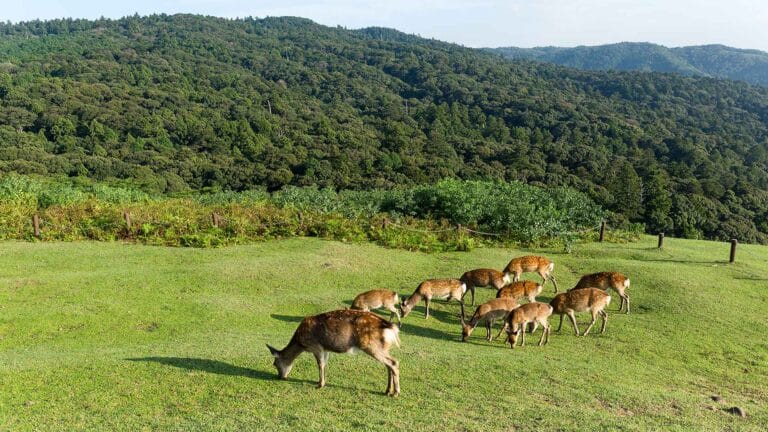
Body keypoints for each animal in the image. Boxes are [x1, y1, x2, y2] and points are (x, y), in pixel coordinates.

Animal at [266, 309, 401, 396]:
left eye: (275, 364)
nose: (280, 377)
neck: (301, 343)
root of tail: (391, 328)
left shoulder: (316, 346)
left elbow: (320, 364)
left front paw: (319, 384)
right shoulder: (326, 349)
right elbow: (325, 364)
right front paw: (322, 382)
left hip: (370, 345)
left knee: (393, 362)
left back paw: (396, 392)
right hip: (382, 347)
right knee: (388, 364)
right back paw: (387, 391)